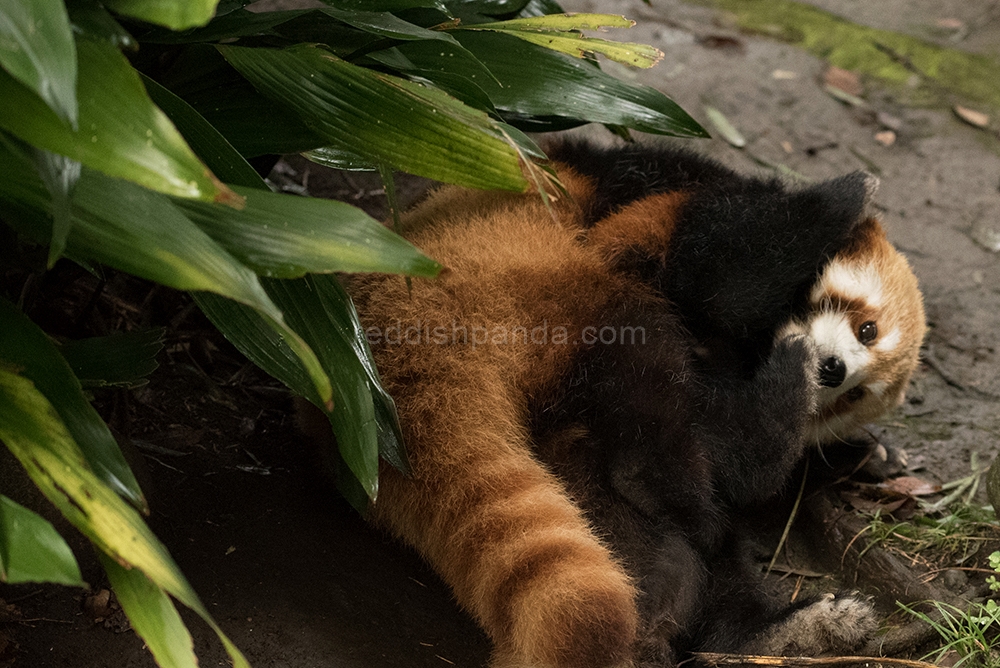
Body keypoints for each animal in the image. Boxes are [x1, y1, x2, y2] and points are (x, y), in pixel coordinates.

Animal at [342, 144, 920, 668]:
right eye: (866, 329)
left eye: (855, 395)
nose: (834, 371)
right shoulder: (666, 197)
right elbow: (722, 273)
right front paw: (849, 191)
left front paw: (868, 455)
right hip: (556, 289)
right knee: (656, 418)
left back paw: (781, 632)